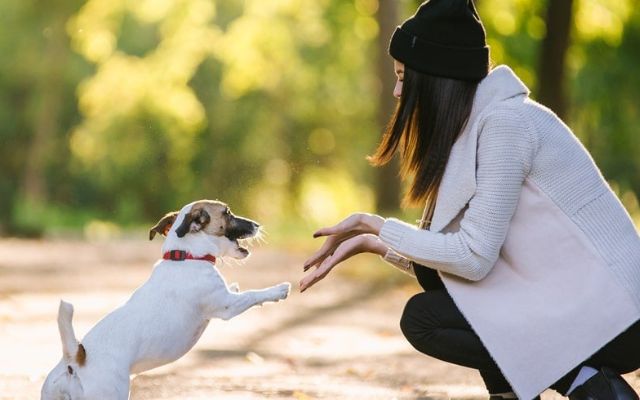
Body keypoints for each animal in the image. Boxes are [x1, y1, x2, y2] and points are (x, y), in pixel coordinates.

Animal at [40, 200, 290, 400]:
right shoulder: (228, 306)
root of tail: (75, 360)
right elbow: (252, 294)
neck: (185, 257)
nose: (258, 225)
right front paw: (278, 290)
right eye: (227, 213)